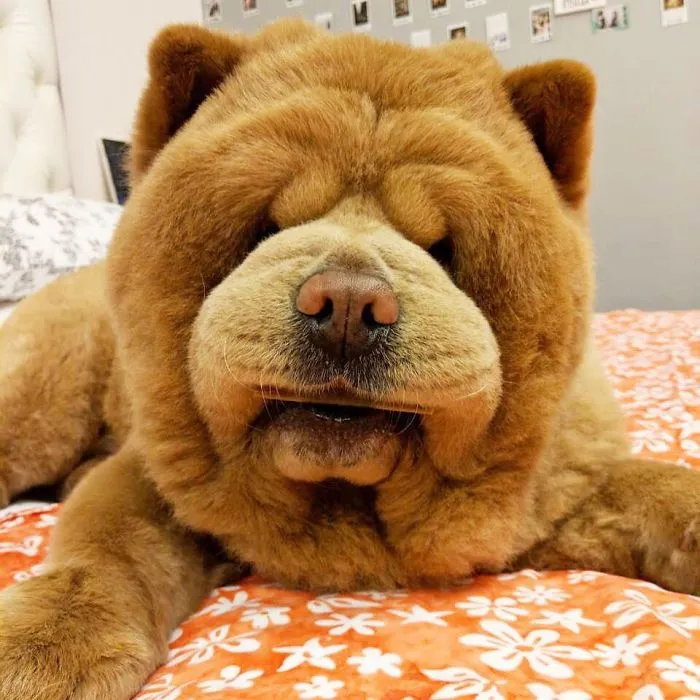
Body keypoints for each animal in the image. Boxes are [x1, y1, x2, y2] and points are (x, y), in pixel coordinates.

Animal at [0, 19, 698, 700]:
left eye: (442, 250)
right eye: (267, 230)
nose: (347, 303)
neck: (344, 499)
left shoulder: (555, 493)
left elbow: (656, 489)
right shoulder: (146, 479)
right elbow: (107, 547)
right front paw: (45, 648)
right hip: (41, 401)